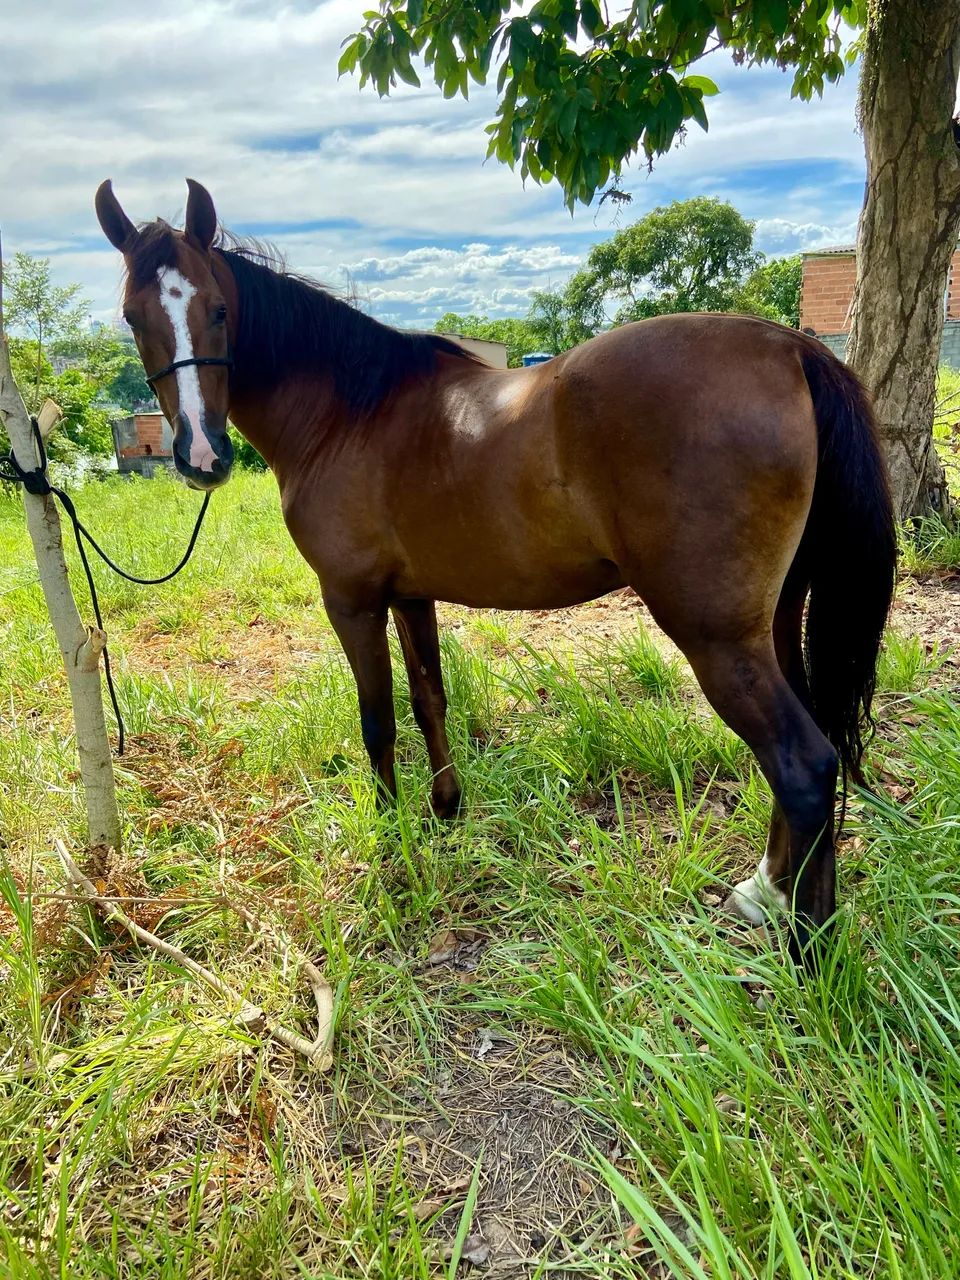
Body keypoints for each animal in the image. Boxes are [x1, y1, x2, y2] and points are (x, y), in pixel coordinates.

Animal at [95, 178, 896, 966]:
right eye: (134, 317)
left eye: (218, 309)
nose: (202, 456)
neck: (348, 414)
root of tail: (789, 348)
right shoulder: (411, 596)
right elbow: (430, 699)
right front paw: (445, 810)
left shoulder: (351, 600)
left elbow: (378, 721)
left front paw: (394, 842)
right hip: (775, 620)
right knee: (811, 747)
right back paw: (767, 892)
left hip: (717, 637)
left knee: (801, 765)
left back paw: (809, 951)